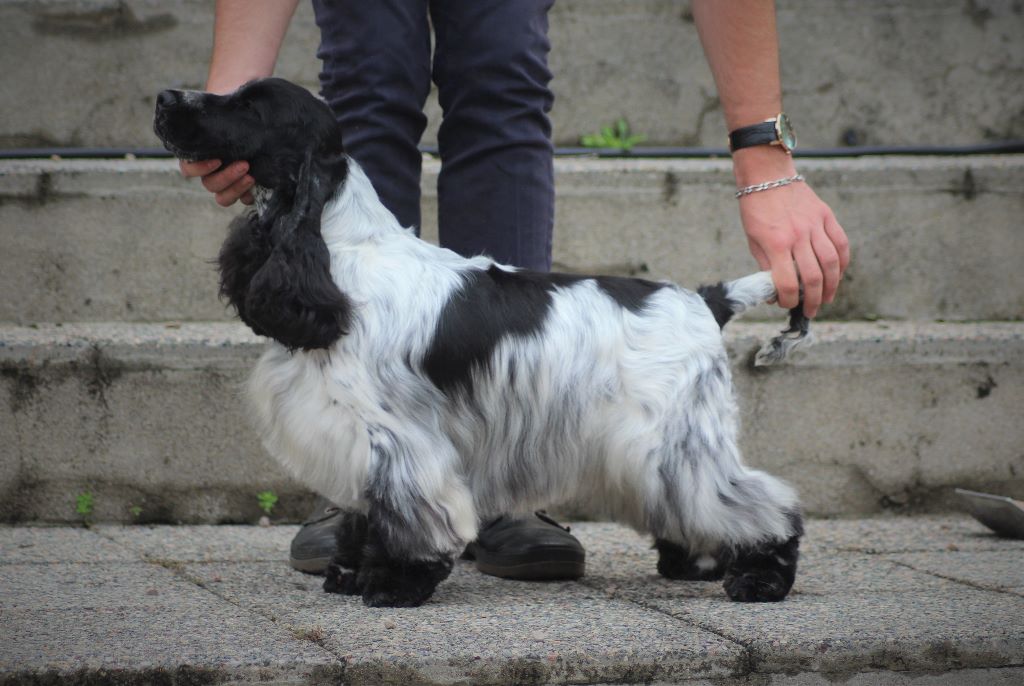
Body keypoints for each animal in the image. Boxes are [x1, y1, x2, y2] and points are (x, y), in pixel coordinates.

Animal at [153, 77, 806, 610]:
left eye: (250, 106)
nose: (163, 98)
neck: (338, 251)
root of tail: (706, 299)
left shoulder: (397, 436)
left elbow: (409, 513)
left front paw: (395, 583)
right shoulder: (356, 434)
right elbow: (368, 512)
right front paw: (351, 572)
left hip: (672, 437)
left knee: (761, 503)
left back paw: (761, 579)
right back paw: (697, 561)